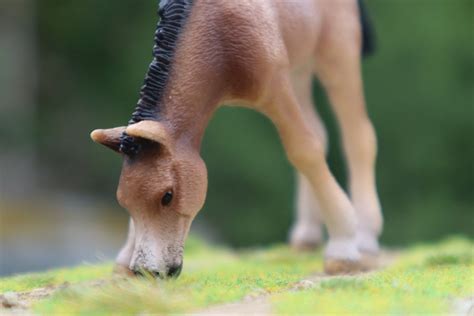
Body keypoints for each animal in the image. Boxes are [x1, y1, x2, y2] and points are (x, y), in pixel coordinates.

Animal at [91, 0, 382, 276]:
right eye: (124, 202)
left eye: (167, 196)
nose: (148, 272)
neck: (218, 33)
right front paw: (123, 263)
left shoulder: (275, 87)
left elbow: (304, 150)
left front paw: (343, 249)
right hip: (300, 66)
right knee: (320, 131)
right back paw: (307, 237)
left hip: (338, 54)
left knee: (358, 137)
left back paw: (366, 240)